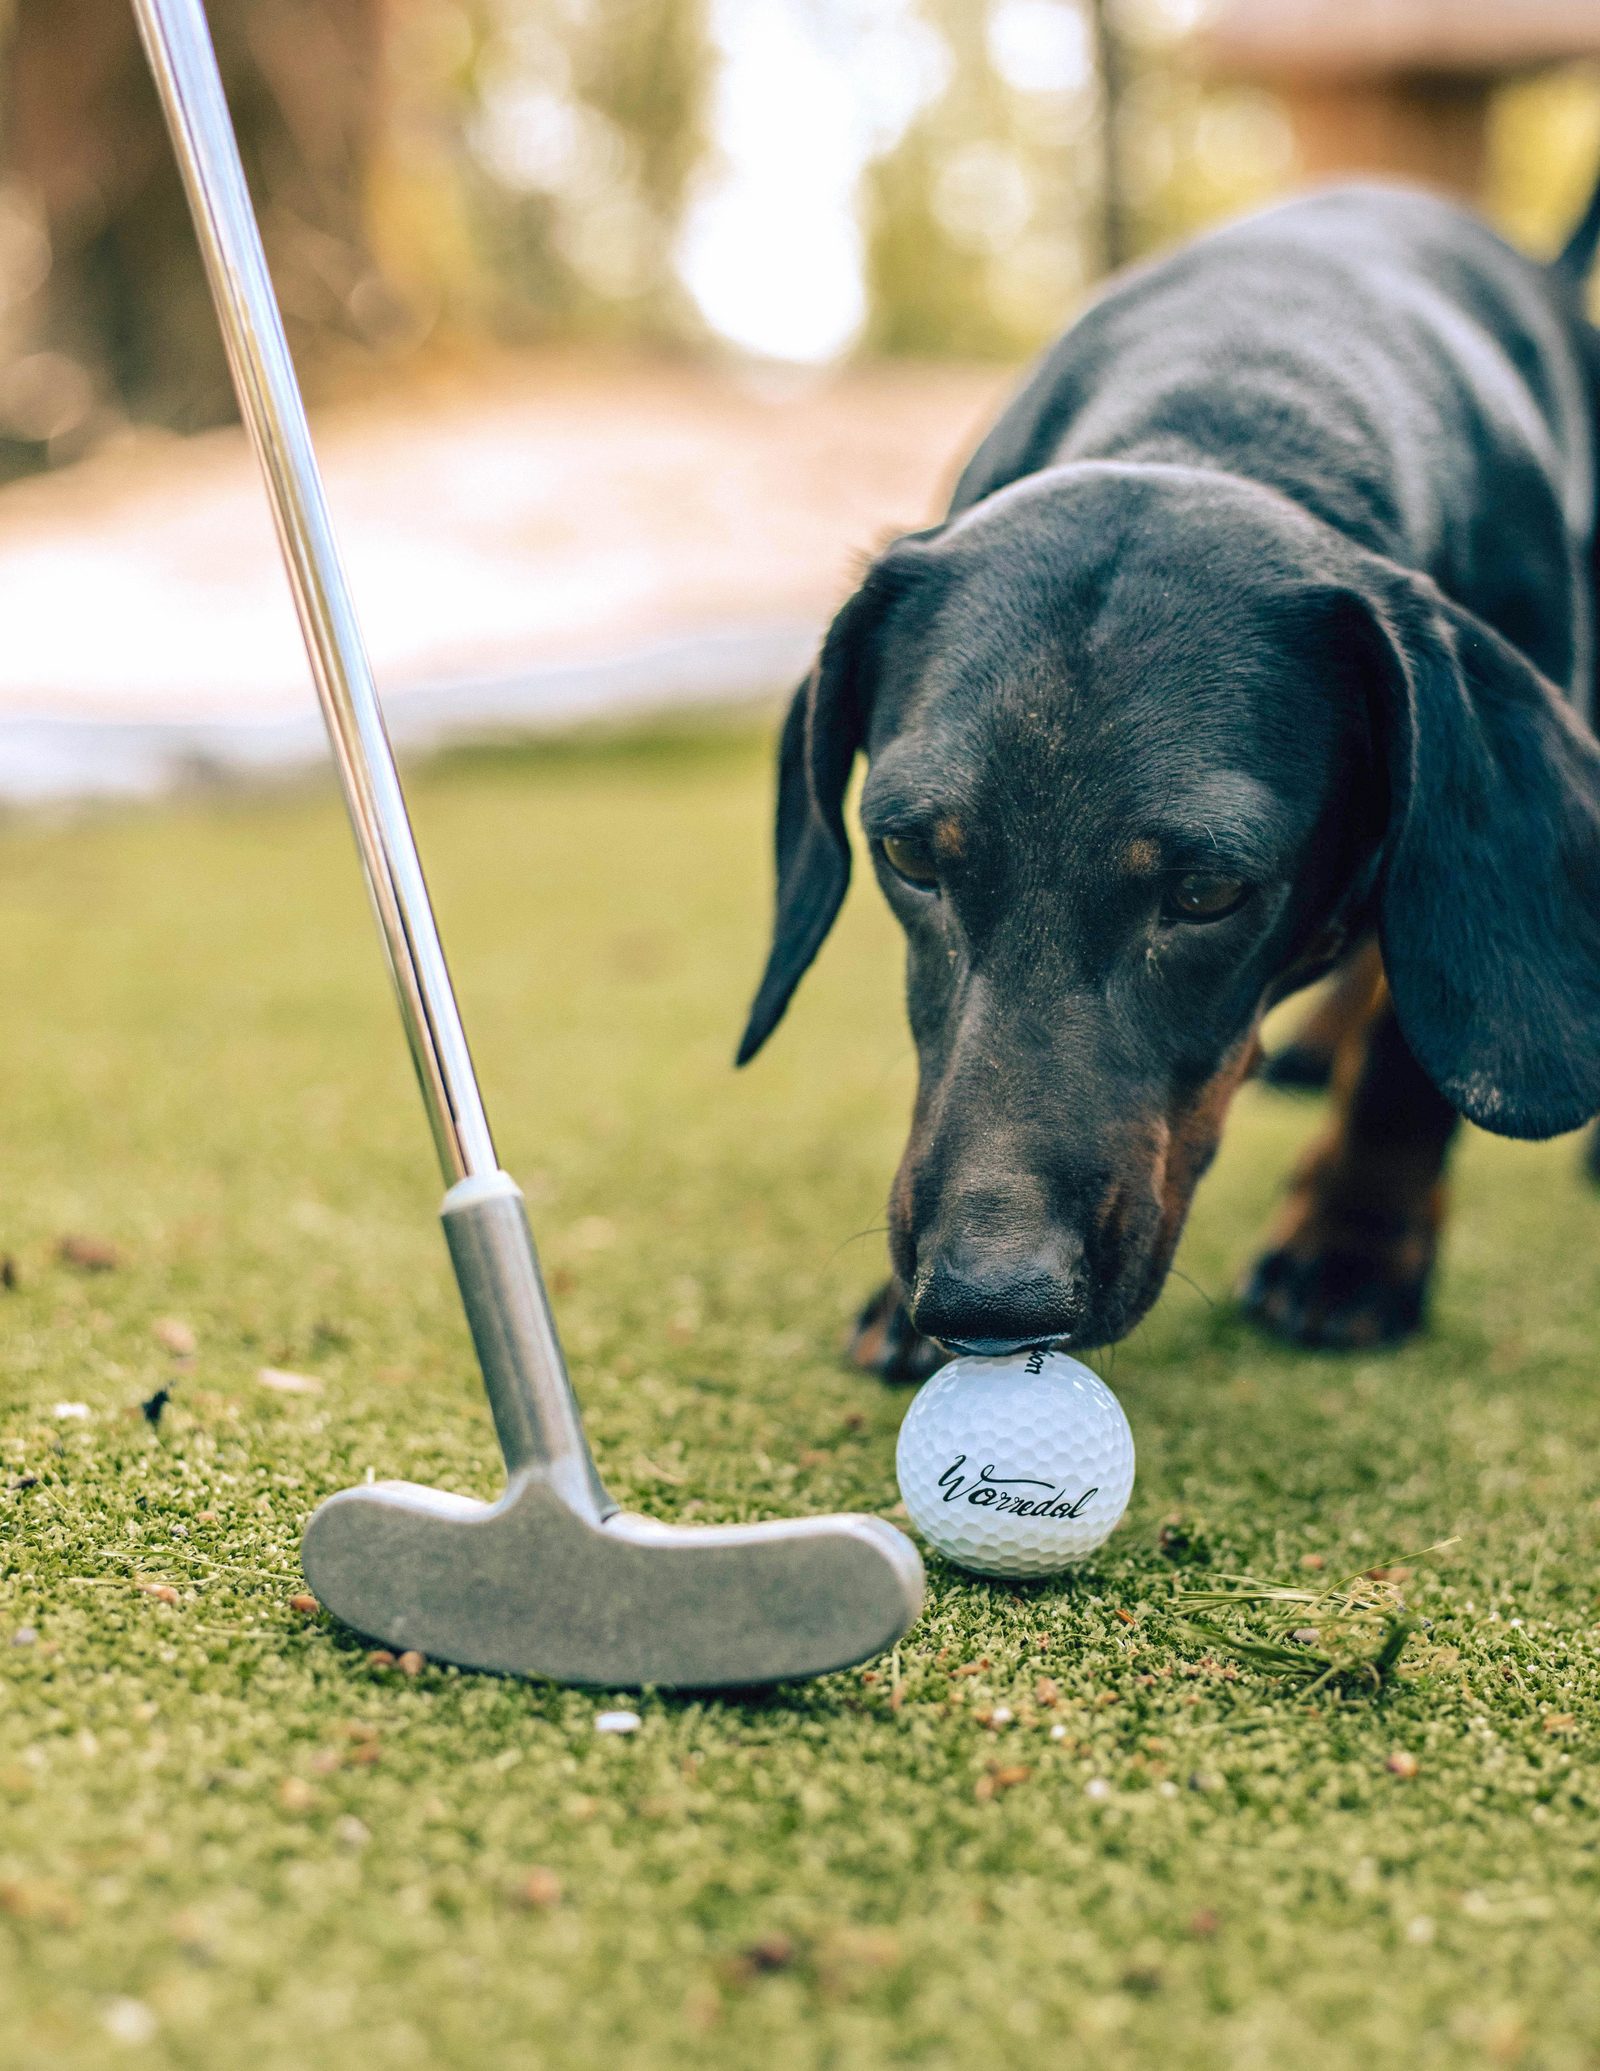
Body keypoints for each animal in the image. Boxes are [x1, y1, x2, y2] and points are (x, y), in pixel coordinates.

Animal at [741, 182, 1597, 1375]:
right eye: (908, 853)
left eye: (1207, 891)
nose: (984, 1300)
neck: (1230, 398)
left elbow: (1408, 1057)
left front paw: (1351, 1245)